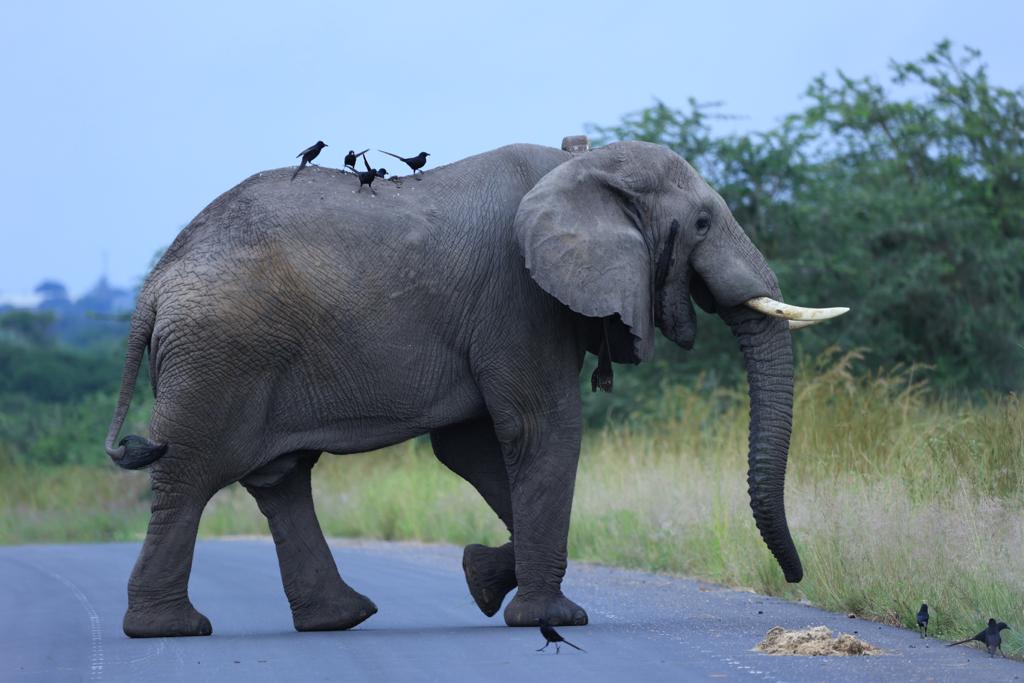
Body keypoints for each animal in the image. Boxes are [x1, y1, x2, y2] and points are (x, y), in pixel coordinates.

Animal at [104, 140, 846, 638]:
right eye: (700, 224)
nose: (795, 578)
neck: (583, 163)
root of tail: (155, 284)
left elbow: (473, 449)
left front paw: (482, 577)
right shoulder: (518, 298)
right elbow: (541, 429)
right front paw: (550, 615)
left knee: (280, 478)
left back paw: (339, 618)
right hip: (220, 356)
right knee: (193, 473)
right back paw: (170, 630)